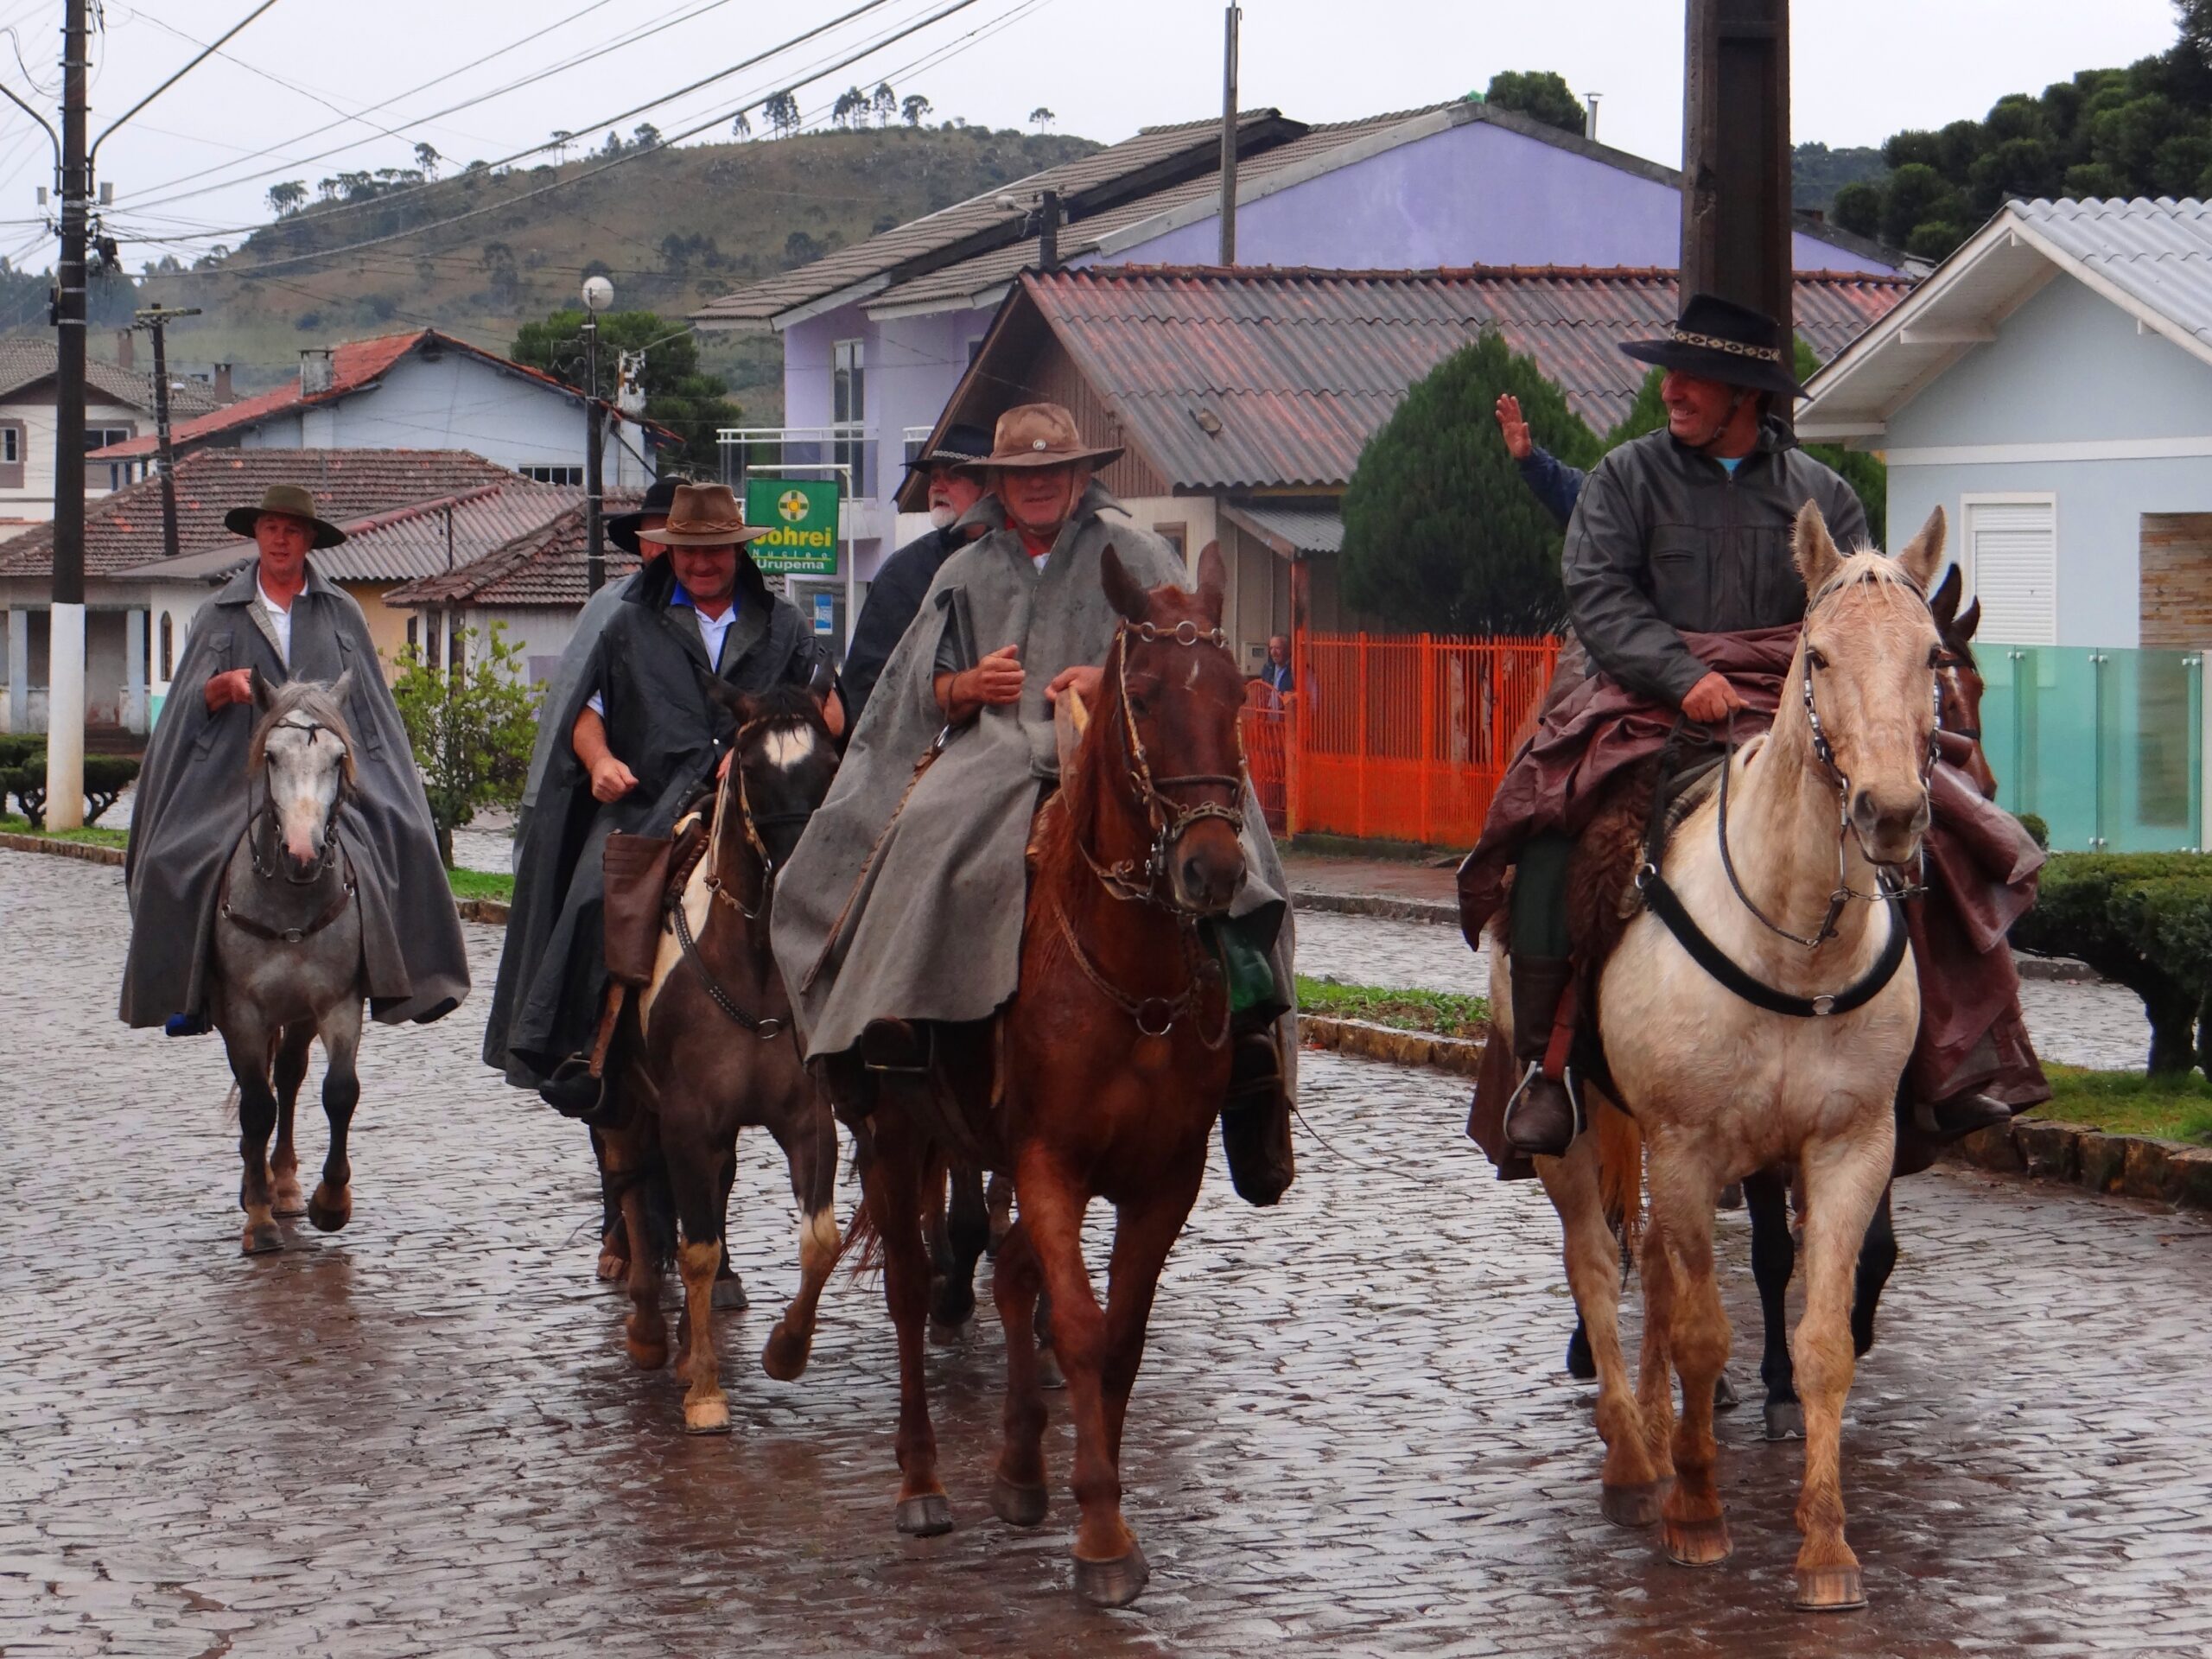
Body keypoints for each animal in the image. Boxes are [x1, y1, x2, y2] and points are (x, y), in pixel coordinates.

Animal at [212, 677, 366, 1256]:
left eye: (337, 758)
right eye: (272, 756)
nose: (303, 854)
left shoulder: (337, 1004)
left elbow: (339, 1093)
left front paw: (331, 1201)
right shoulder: (242, 1012)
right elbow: (257, 1106)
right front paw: (258, 1217)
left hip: (298, 1016)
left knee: (291, 1076)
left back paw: (284, 1182)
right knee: (260, 1089)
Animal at [597, 681, 844, 1433]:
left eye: (829, 764)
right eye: (753, 771)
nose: (797, 879)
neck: (756, 969)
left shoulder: (808, 1120)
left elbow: (821, 1239)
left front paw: (785, 1350)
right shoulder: (684, 1120)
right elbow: (696, 1250)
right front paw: (705, 1388)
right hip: (626, 1104)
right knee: (634, 1191)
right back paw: (651, 1331)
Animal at [849, 546, 1265, 1610]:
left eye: (1238, 694)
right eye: (1146, 696)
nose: (1211, 870)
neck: (1133, 984)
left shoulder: (1164, 1183)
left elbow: (1117, 1337)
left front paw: (1079, 1494)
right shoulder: (1049, 1167)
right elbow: (1074, 1326)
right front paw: (1104, 1536)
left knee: (1004, 1279)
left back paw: (1017, 1470)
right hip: (897, 1134)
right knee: (910, 1289)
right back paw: (922, 1482)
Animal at [1522, 504, 1937, 1610]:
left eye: (1932, 656)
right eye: (1817, 655)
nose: (1889, 812)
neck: (1795, 941)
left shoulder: (1848, 1152)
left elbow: (1820, 1340)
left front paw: (1826, 1548)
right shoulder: (1686, 1145)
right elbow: (1706, 1333)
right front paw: (1699, 1516)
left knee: (1662, 1283)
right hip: (1570, 1132)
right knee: (1595, 1262)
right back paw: (1636, 1459)